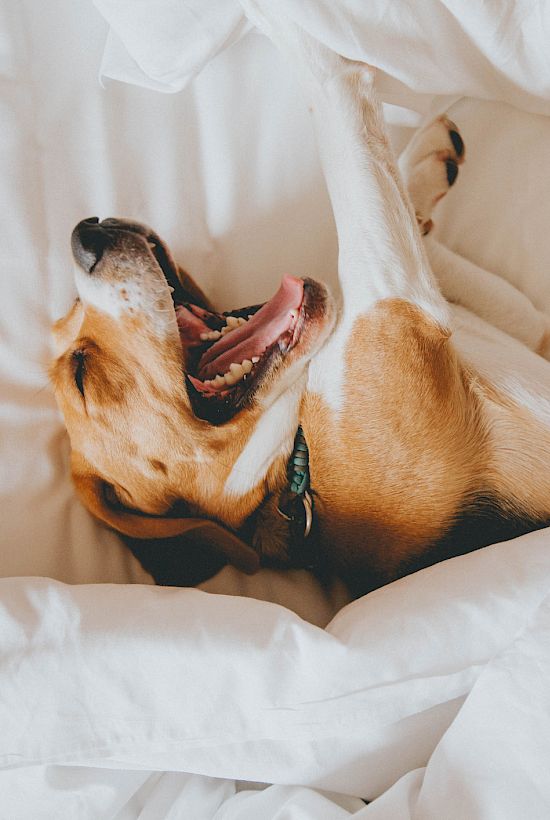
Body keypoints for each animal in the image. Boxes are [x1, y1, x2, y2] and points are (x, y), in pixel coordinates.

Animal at [48, 4, 550, 596]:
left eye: (70, 314)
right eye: (82, 376)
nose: (85, 234)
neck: (295, 460)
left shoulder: (527, 326)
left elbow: (397, 201)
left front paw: (425, 166)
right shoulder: (396, 305)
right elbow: (337, 109)